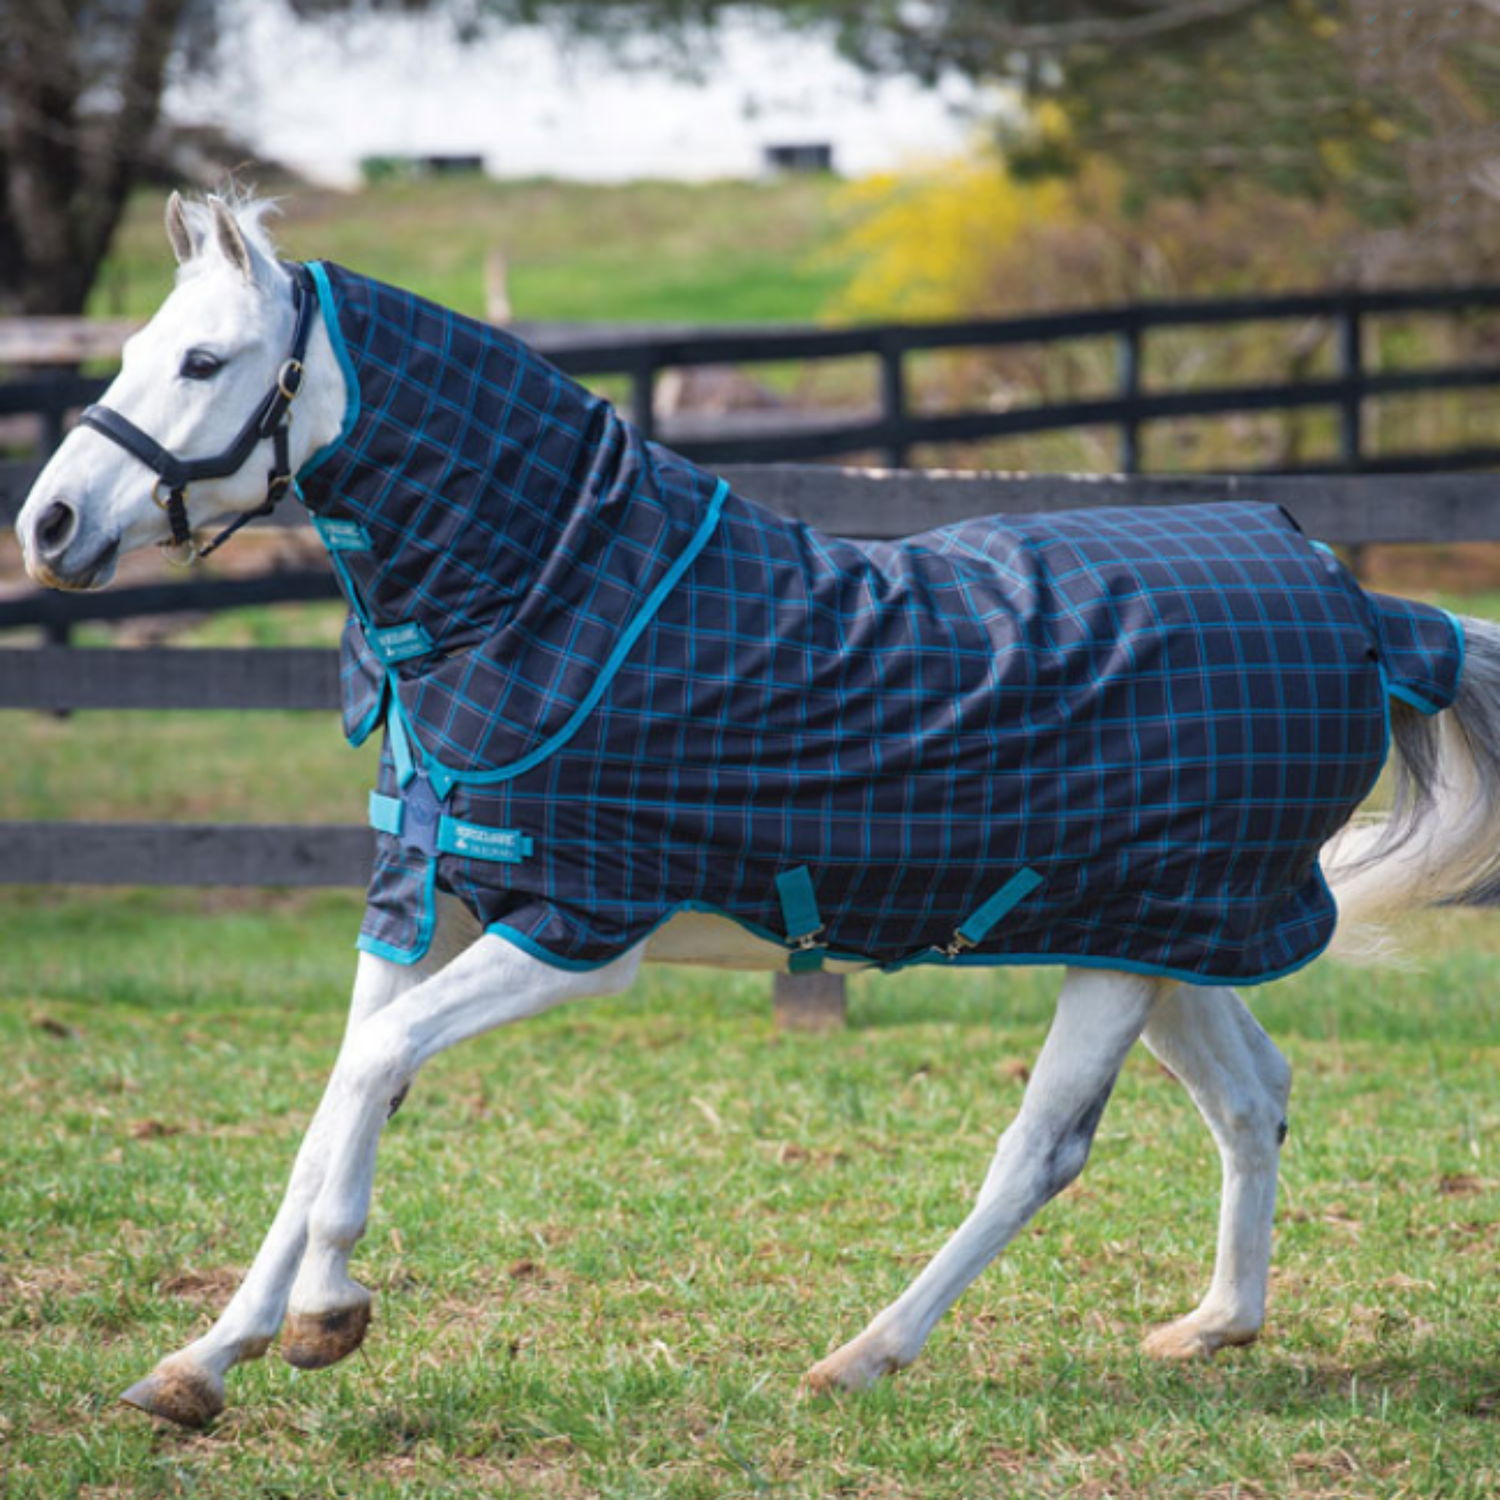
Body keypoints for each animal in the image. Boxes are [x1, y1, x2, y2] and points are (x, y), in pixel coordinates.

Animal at [15, 192, 1500, 1432]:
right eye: (138, 346)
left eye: (204, 364)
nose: (48, 526)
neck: (552, 592)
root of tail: (1365, 606)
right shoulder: (423, 905)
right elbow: (332, 1109)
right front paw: (204, 1363)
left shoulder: (579, 930)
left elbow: (373, 1074)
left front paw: (329, 1317)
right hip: (1159, 942)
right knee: (1255, 1097)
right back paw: (1212, 1328)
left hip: (1133, 948)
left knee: (1044, 1152)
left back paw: (865, 1356)